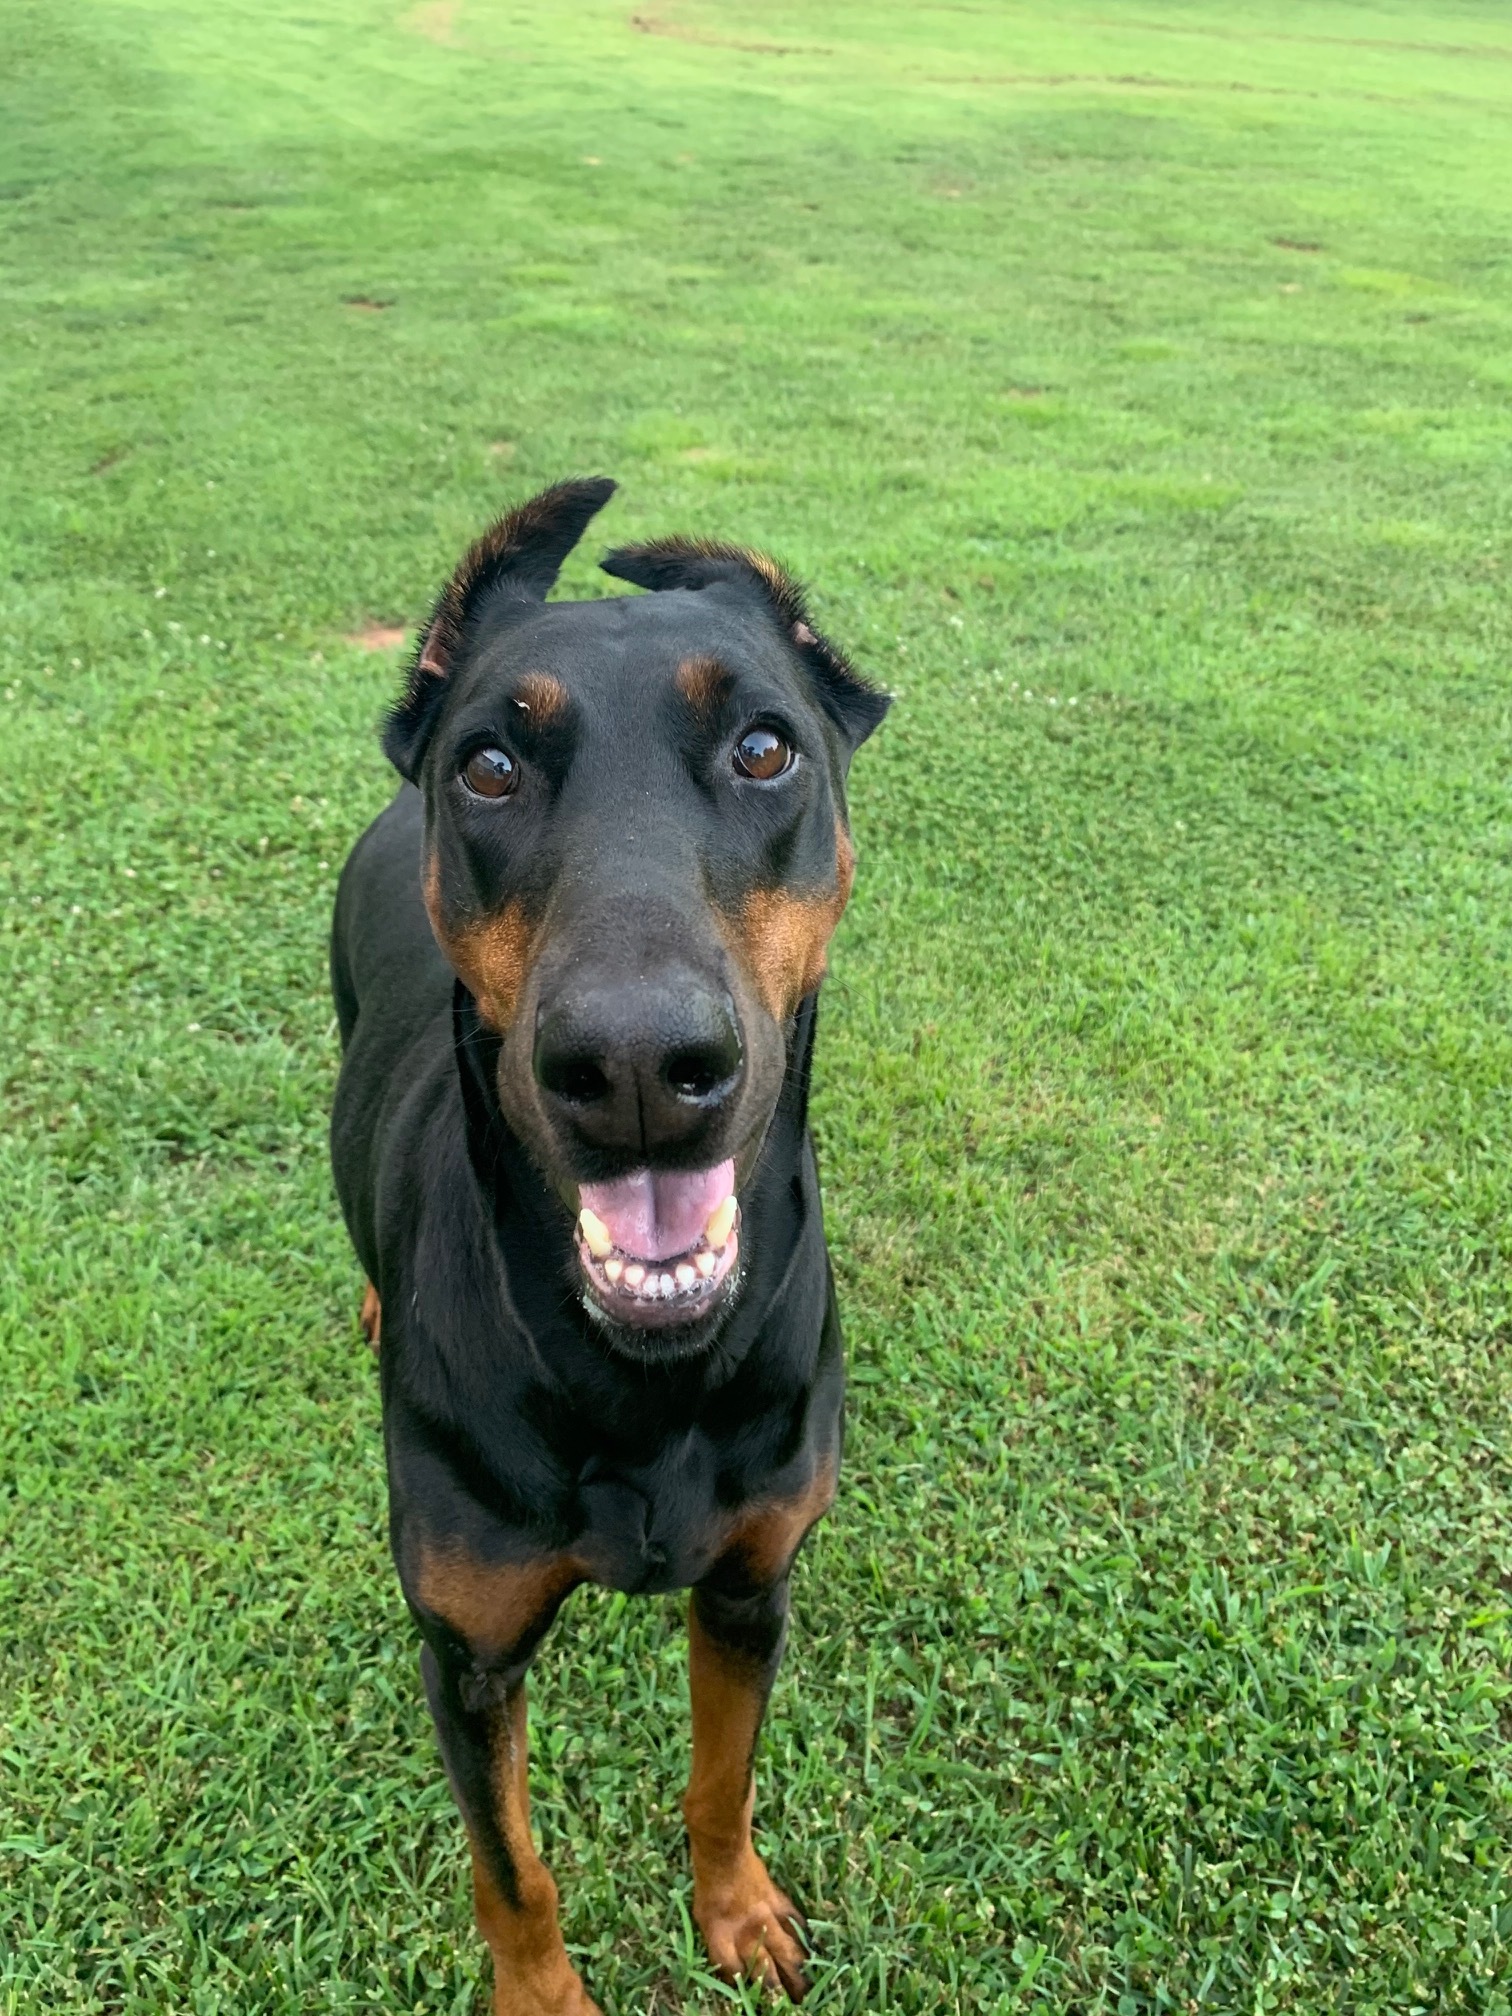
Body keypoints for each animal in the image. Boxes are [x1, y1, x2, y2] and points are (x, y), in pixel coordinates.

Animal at [330, 479, 887, 2007]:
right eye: (490, 768)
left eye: (765, 747)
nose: (636, 1065)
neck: (642, 1376)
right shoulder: (465, 1651)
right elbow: (512, 1871)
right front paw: (542, 1995)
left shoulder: (754, 1584)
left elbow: (725, 1774)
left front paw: (737, 1912)